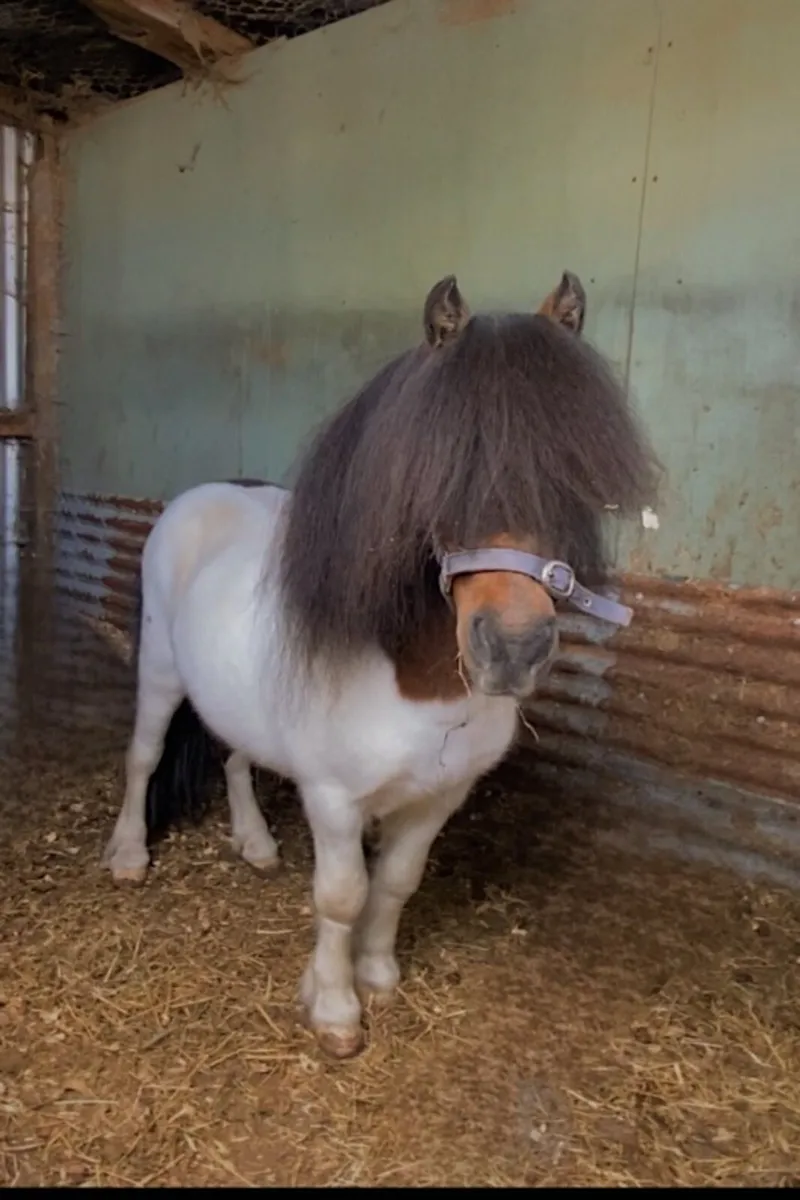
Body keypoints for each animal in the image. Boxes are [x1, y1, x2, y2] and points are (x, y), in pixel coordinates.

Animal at [103, 269, 659, 1059]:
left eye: (574, 475)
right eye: (443, 471)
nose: (513, 649)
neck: (415, 681)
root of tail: (214, 490)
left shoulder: (440, 796)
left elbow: (396, 881)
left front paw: (376, 975)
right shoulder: (335, 800)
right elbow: (342, 896)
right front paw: (334, 1010)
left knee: (237, 757)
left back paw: (256, 843)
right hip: (159, 672)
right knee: (144, 757)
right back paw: (127, 857)